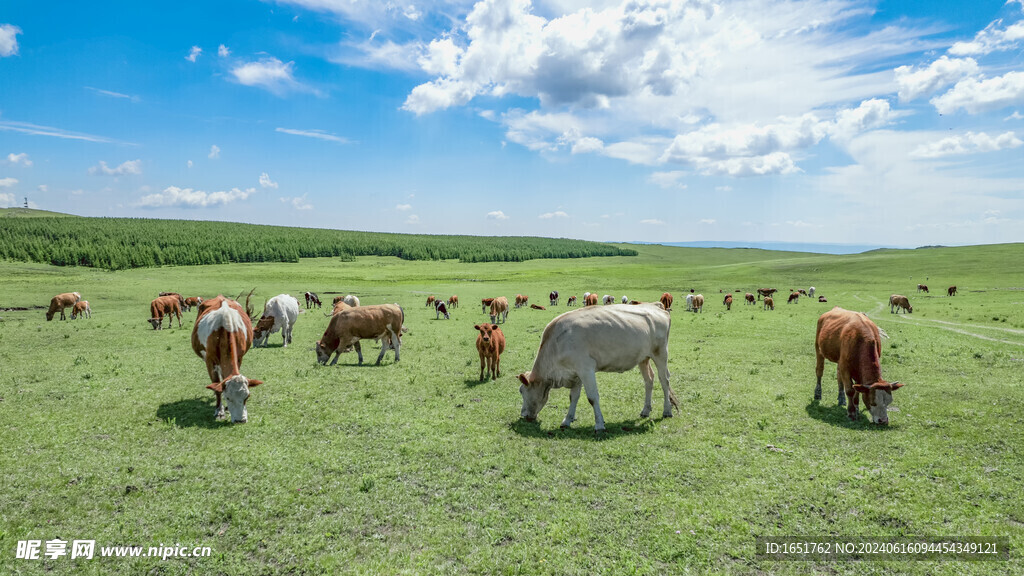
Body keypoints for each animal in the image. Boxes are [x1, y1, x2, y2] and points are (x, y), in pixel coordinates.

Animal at [520, 303, 679, 428]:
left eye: (521, 391)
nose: (523, 415)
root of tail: (655, 306)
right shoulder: (575, 372)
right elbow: (573, 397)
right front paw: (567, 420)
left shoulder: (586, 369)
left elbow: (592, 397)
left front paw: (599, 424)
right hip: (643, 358)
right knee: (649, 380)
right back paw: (645, 410)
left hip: (660, 353)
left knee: (664, 380)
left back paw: (667, 411)